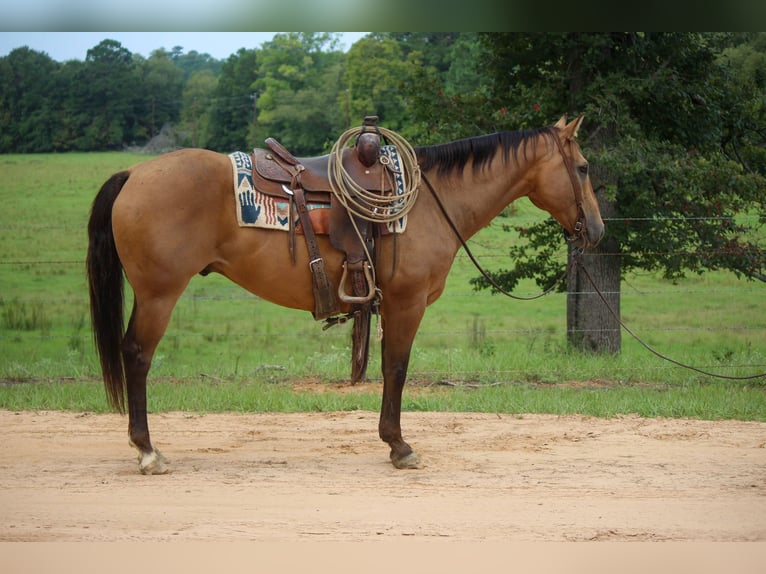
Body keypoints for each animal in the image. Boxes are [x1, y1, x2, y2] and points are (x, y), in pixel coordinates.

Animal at [87, 115, 608, 474]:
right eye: (582, 168)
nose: (597, 229)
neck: (428, 200)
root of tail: (134, 173)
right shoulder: (406, 303)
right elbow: (396, 368)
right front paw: (399, 446)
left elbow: (389, 368)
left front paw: (392, 441)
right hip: (159, 294)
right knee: (137, 355)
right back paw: (148, 451)